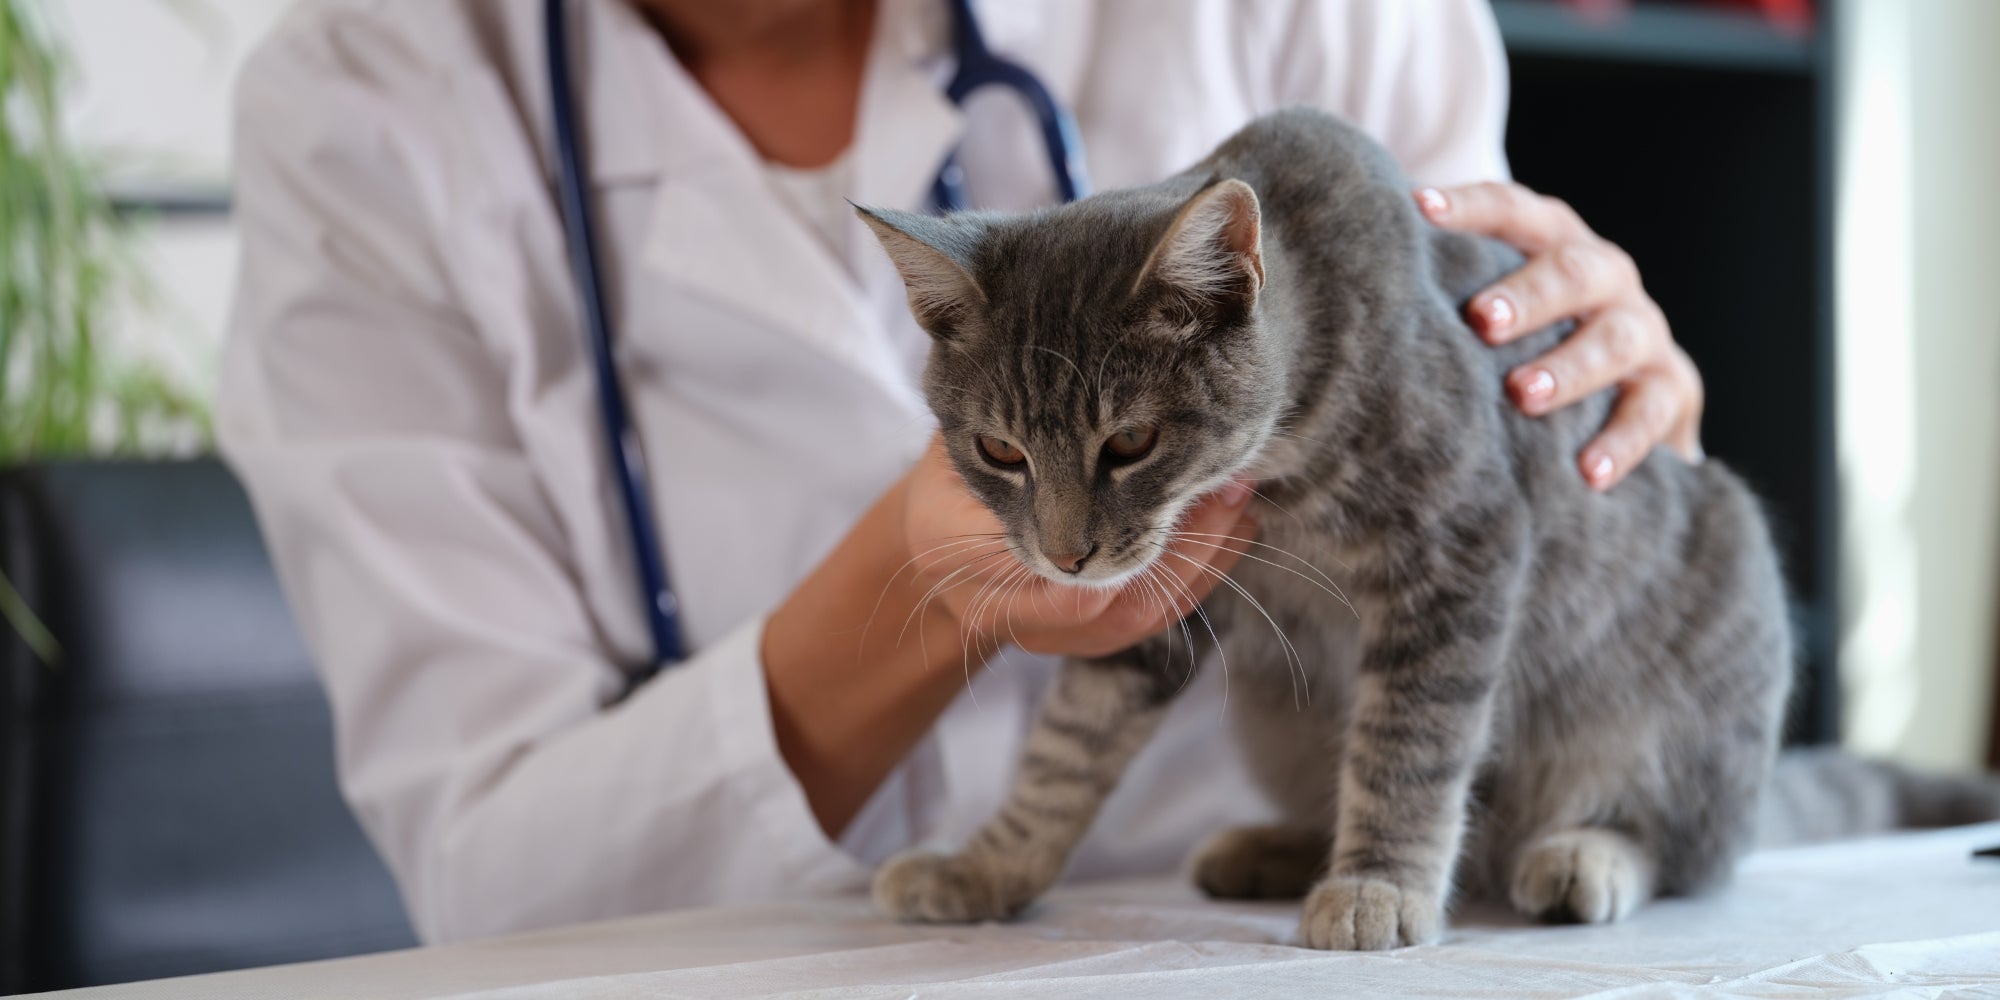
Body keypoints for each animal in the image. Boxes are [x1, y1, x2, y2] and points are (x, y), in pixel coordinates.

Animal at [852, 109, 1992, 952]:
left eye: (1128, 441)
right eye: (998, 450)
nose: (1064, 553)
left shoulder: (1461, 548)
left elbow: (1410, 742)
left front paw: (1380, 885)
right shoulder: (1163, 603)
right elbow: (1067, 749)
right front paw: (987, 866)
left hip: (1707, 654)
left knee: (1685, 845)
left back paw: (1581, 854)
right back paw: (1274, 847)